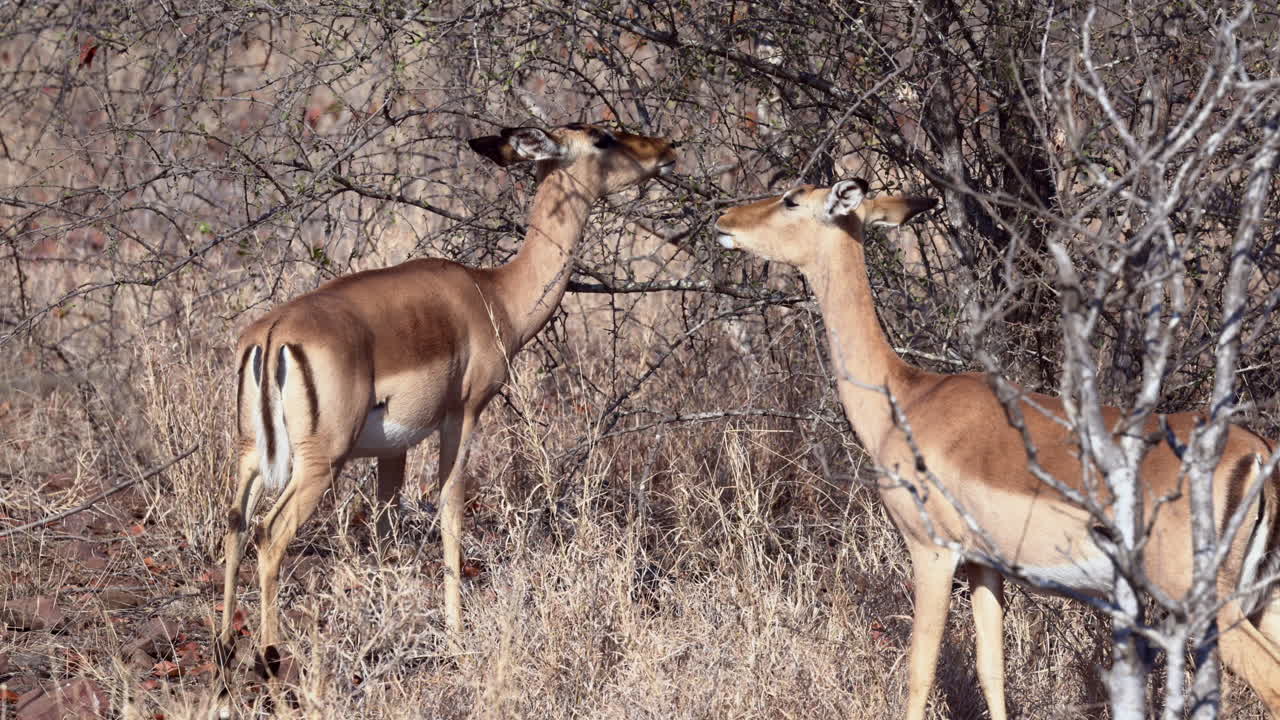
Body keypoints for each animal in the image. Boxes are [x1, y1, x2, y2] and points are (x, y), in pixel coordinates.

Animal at [218, 123, 677, 677]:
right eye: (602, 137)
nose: (667, 150)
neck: (496, 294)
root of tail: (273, 334)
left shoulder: (393, 447)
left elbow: (385, 527)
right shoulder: (464, 414)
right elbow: (451, 509)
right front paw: (456, 638)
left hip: (250, 454)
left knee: (235, 524)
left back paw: (225, 646)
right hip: (320, 462)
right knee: (270, 532)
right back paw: (270, 656)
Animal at [713, 180, 1280, 719]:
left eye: (792, 199)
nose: (724, 220)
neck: (905, 397)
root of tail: (1258, 452)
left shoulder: (932, 551)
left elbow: (920, 671)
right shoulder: (986, 566)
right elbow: (992, 670)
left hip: (1203, 601)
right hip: (1262, 600)